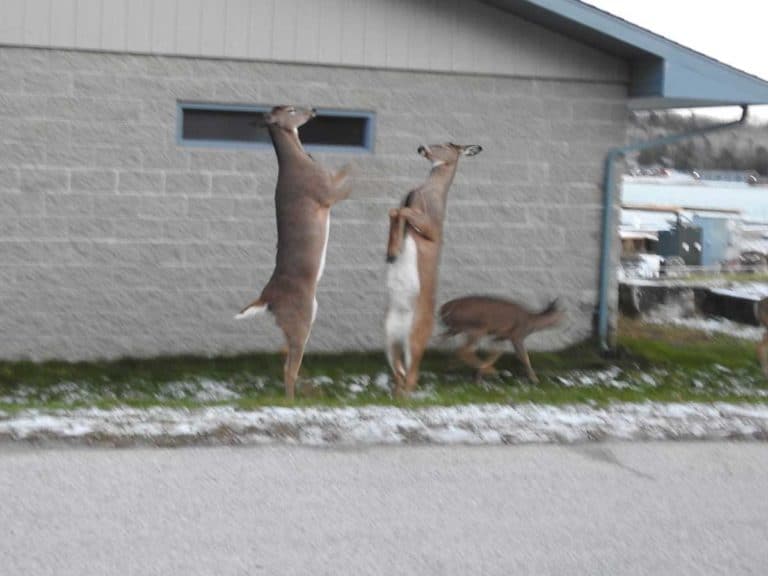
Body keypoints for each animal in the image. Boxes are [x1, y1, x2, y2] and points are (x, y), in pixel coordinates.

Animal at [235, 105, 352, 400]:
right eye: (290, 110)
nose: (314, 109)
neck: (299, 159)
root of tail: (267, 298)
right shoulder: (325, 192)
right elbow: (347, 178)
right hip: (302, 317)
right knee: (290, 368)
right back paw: (292, 400)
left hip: (290, 324)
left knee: (284, 359)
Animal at [385, 142, 482, 398]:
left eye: (447, 145)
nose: (421, 147)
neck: (428, 193)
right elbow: (394, 211)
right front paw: (391, 253)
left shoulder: (432, 231)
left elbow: (400, 212)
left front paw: (394, 252)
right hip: (389, 337)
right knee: (400, 373)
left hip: (415, 336)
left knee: (412, 376)